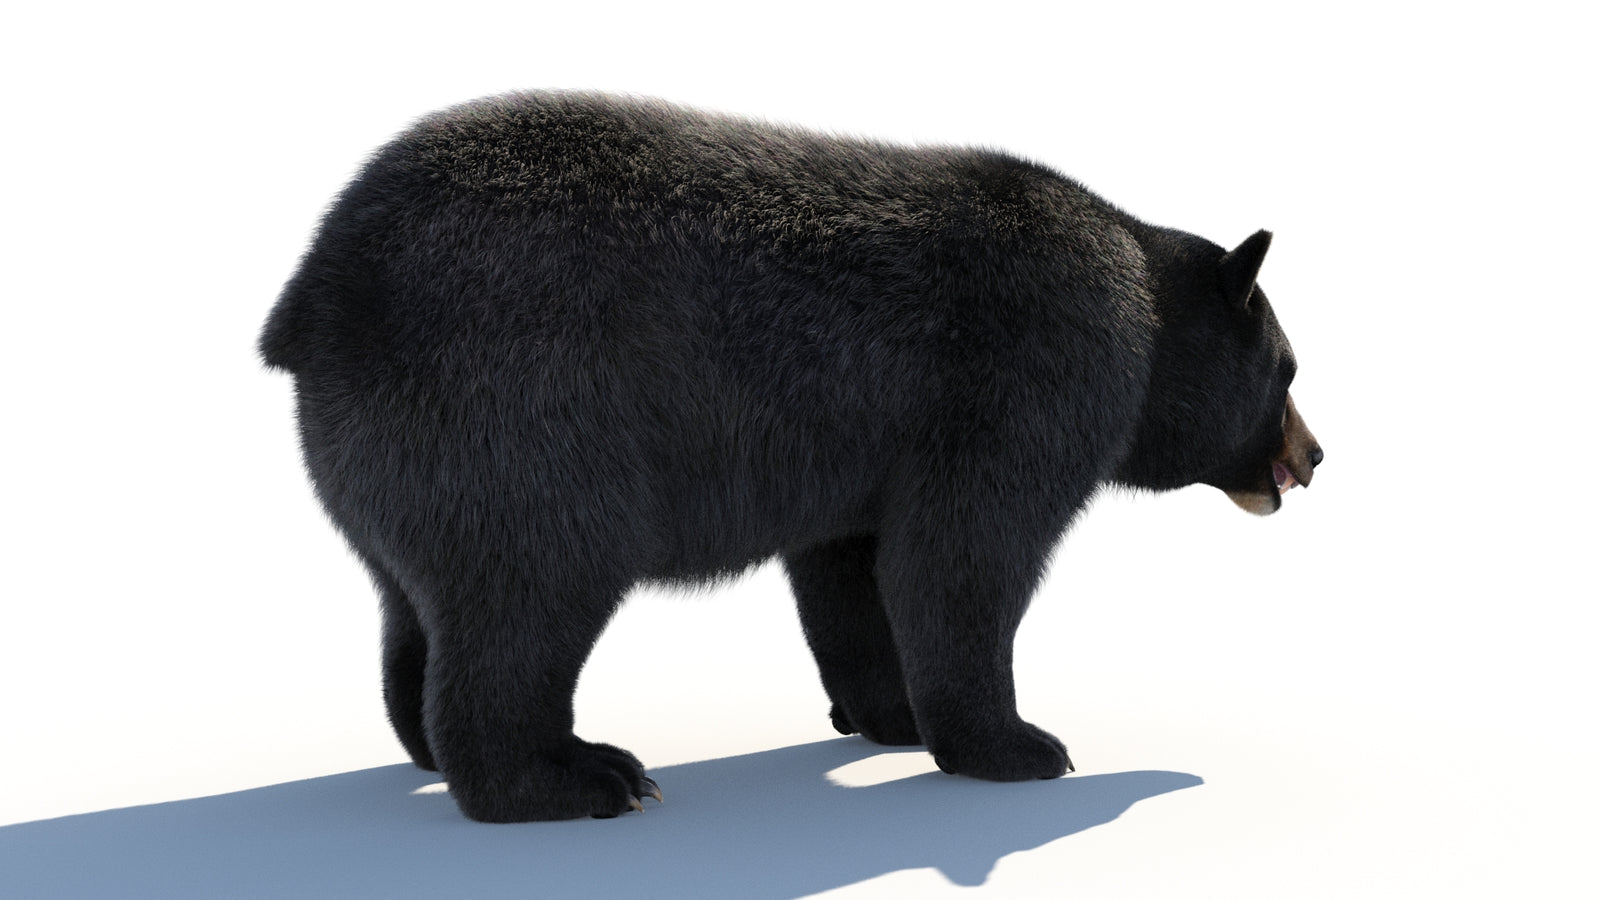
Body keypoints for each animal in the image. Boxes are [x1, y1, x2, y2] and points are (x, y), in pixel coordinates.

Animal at [259, 90, 1323, 822]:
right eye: (1288, 369)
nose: (1315, 456)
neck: (1139, 303)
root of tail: (312, 296)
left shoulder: (867, 450)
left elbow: (851, 570)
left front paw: (891, 715)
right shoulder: (1034, 368)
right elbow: (965, 555)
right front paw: (1019, 745)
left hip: (394, 448)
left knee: (413, 599)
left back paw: (427, 748)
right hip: (517, 408)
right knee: (529, 587)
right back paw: (576, 777)